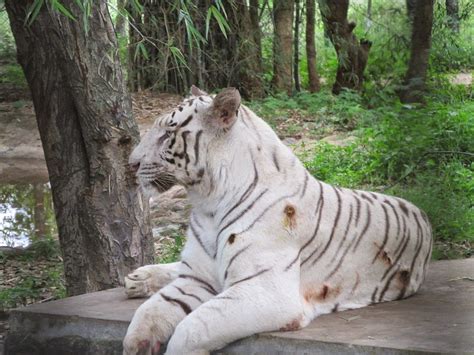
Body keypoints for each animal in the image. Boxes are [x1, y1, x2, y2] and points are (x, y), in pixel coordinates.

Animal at [123, 86, 434, 355]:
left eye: (168, 134)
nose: (131, 164)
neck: (207, 202)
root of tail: (421, 212)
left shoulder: (266, 290)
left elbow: (193, 327)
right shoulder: (195, 277)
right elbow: (147, 314)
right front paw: (137, 342)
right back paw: (138, 278)